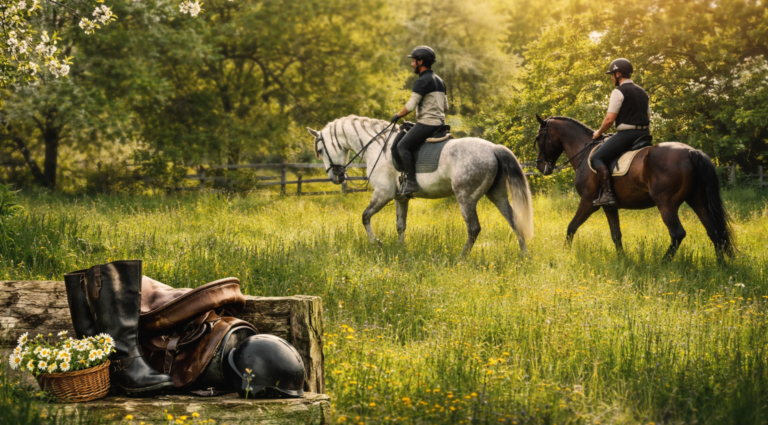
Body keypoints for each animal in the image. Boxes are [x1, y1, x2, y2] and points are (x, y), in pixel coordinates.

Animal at [306, 115, 534, 256]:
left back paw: (461, 258)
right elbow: (400, 225)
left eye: (321, 150)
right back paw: (523, 255)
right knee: (514, 220)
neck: (378, 147)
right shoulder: (400, 197)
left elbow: (365, 217)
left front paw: (375, 242)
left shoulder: (383, 193)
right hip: (497, 195)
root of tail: (493, 148)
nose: (336, 177)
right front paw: (400, 249)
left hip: (466, 198)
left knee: (474, 228)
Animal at [533, 115, 735, 261]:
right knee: (713, 230)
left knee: (677, 233)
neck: (584, 151)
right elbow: (616, 234)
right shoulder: (609, 206)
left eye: (539, 138)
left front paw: (564, 253)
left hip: (667, 205)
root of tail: (691, 151)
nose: (541, 166)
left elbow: (571, 226)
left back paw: (663, 263)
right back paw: (721, 265)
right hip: (698, 200)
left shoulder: (588, 202)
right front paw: (622, 260)